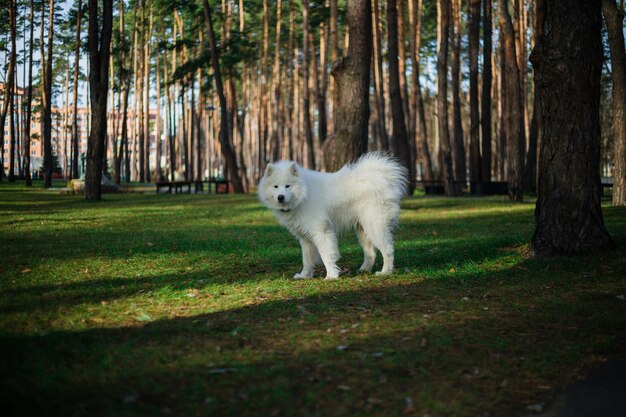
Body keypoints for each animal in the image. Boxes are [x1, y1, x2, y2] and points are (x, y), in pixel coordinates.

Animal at [258, 153, 408, 280]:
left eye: (287, 186)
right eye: (275, 186)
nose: (280, 197)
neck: (303, 194)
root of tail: (383, 177)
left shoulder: (321, 232)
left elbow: (326, 255)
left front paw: (331, 276)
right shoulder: (305, 237)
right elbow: (306, 259)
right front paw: (304, 275)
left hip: (375, 227)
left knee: (388, 250)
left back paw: (385, 272)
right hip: (362, 231)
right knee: (371, 252)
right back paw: (364, 270)